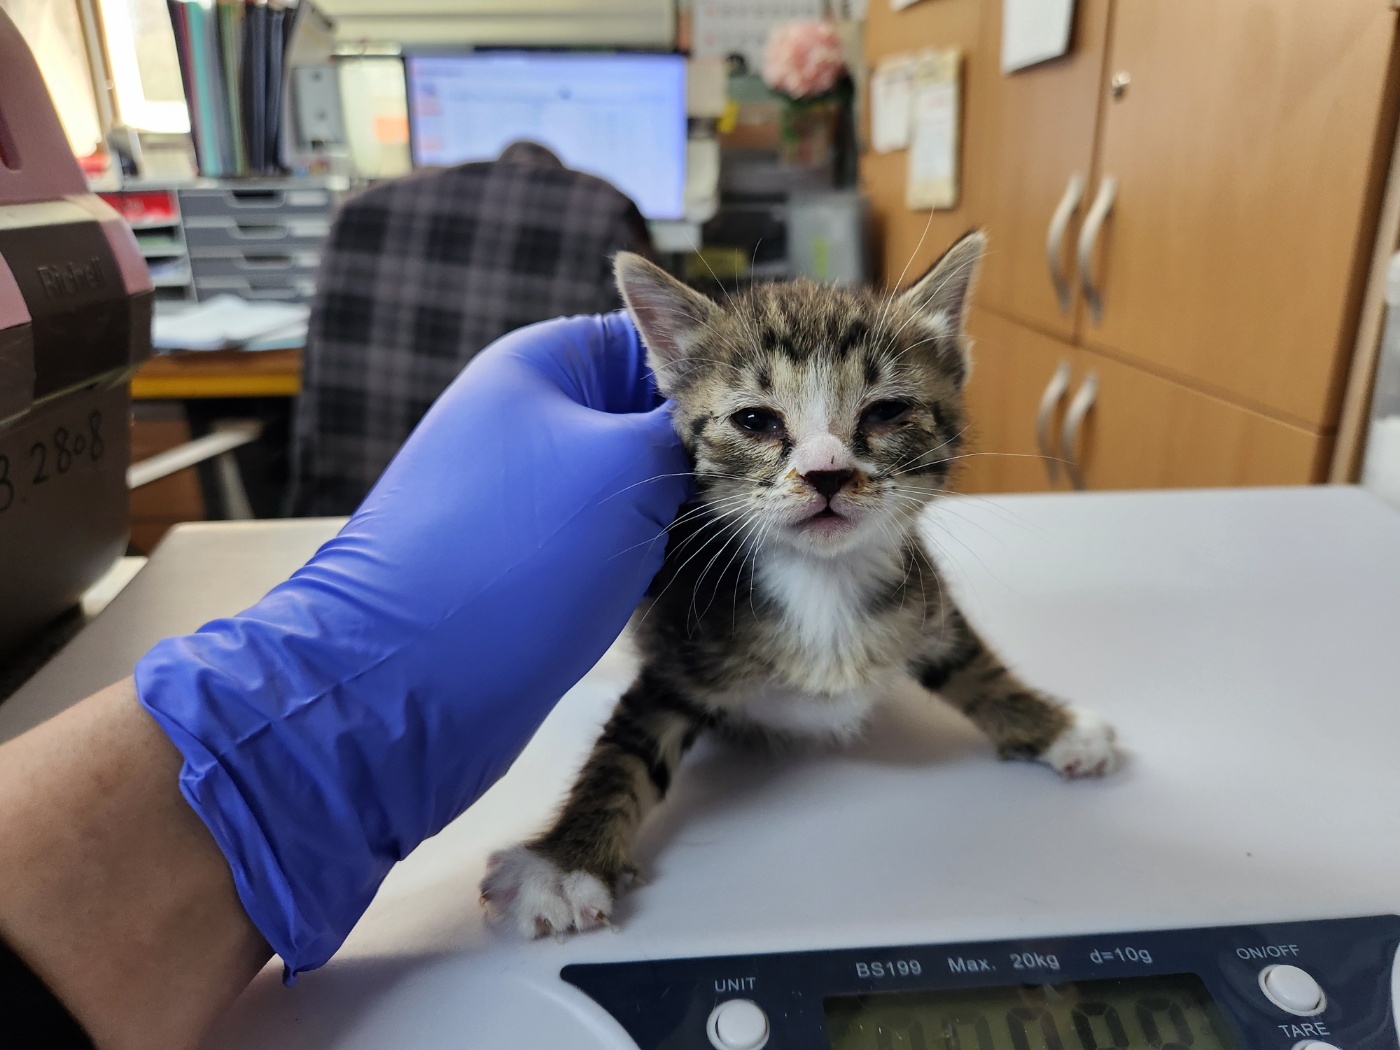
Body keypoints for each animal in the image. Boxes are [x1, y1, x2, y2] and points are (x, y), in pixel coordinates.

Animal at [484, 233, 1125, 940]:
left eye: (888, 411)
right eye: (755, 421)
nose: (827, 473)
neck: (823, 582)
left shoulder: (921, 600)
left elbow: (975, 665)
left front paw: (1054, 726)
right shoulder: (683, 649)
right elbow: (625, 752)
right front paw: (565, 863)